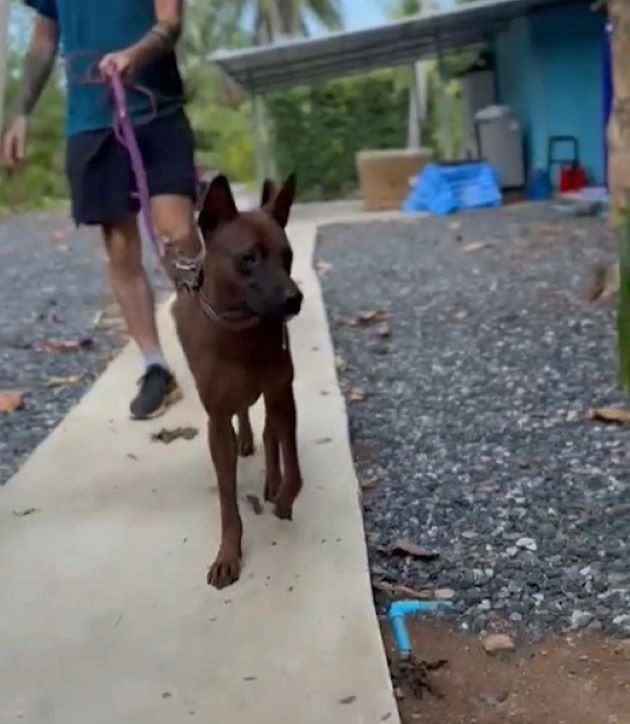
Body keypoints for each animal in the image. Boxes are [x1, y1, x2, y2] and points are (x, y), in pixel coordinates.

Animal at [172, 174, 302, 588]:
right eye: (249, 258)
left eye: (287, 256)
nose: (295, 299)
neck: (241, 334)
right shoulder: (216, 423)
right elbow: (227, 499)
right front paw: (228, 554)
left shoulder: (282, 395)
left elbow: (293, 467)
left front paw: (284, 498)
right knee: (244, 415)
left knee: (269, 433)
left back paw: (272, 479)